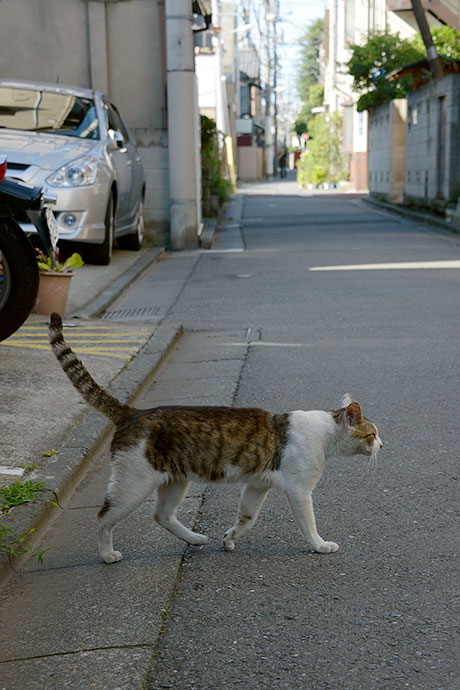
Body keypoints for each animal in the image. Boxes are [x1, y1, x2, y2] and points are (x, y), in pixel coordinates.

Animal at [48, 314, 382, 560]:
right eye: (373, 433)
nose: (382, 444)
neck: (326, 433)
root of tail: (132, 411)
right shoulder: (299, 491)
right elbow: (309, 524)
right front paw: (320, 545)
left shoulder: (257, 485)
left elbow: (247, 518)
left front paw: (230, 539)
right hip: (133, 484)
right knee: (103, 517)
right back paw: (107, 554)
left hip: (175, 480)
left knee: (162, 516)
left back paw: (195, 538)